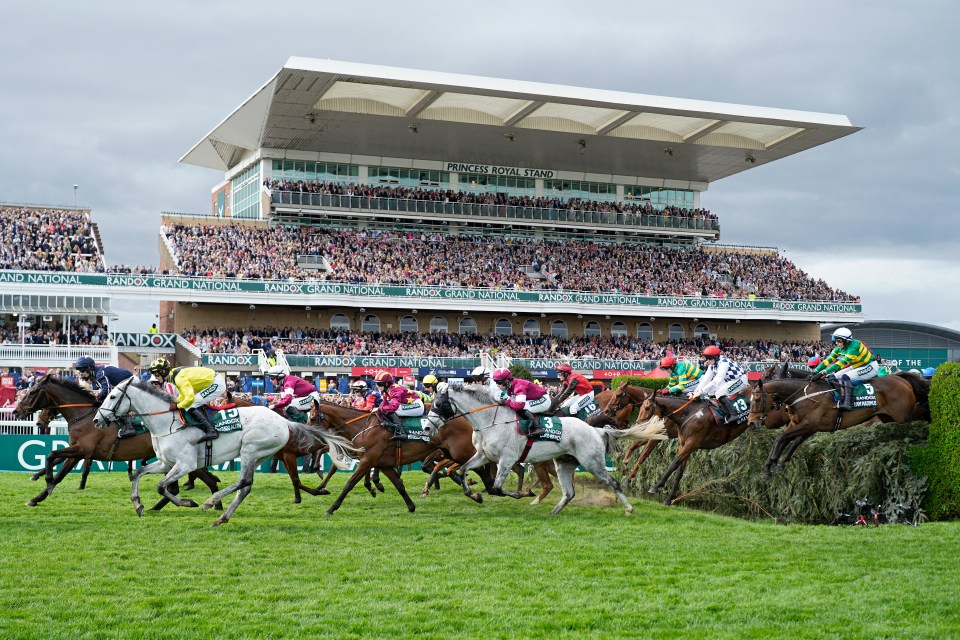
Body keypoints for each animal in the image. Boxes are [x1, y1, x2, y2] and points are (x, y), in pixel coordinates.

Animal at [15, 376, 223, 510]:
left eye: (32, 392)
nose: (17, 411)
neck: (84, 416)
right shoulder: (79, 452)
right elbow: (57, 465)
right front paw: (39, 489)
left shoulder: (82, 449)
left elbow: (53, 459)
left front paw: (43, 486)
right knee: (178, 486)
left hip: (184, 460)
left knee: (204, 480)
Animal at [94, 380, 360, 524]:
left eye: (113, 396)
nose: (97, 420)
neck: (167, 422)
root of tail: (283, 421)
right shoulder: (166, 463)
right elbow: (138, 473)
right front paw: (138, 504)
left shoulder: (185, 464)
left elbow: (161, 486)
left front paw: (188, 502)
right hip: (260, 454)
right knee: (246, 485)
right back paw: (222, 514)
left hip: (251, 448)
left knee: (244, 481)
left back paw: (212, 501)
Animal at [428, 380, 668, 516]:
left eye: (439, 404)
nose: (428, 425)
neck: (490, 421)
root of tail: (595, 430)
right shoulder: (484, 456)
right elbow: (463, 470)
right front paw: (475, 495)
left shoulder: (506, 459)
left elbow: (496, 488)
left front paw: (523, 493)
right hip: (564, 464)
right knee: (569, 492)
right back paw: (554, 511)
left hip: (592, 462)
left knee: (613, 482)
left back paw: (629, 508)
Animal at [752, 368, 928, 478]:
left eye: (758, 399)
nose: (752, 422)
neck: (804, 394)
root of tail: (899, 378)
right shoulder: (804, 426)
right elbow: (788, 440)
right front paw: (774, 464)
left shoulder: (809, 424)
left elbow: (782, 438)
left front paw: (772, 463)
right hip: (888, 417)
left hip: (905, 413)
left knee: (925, 411)